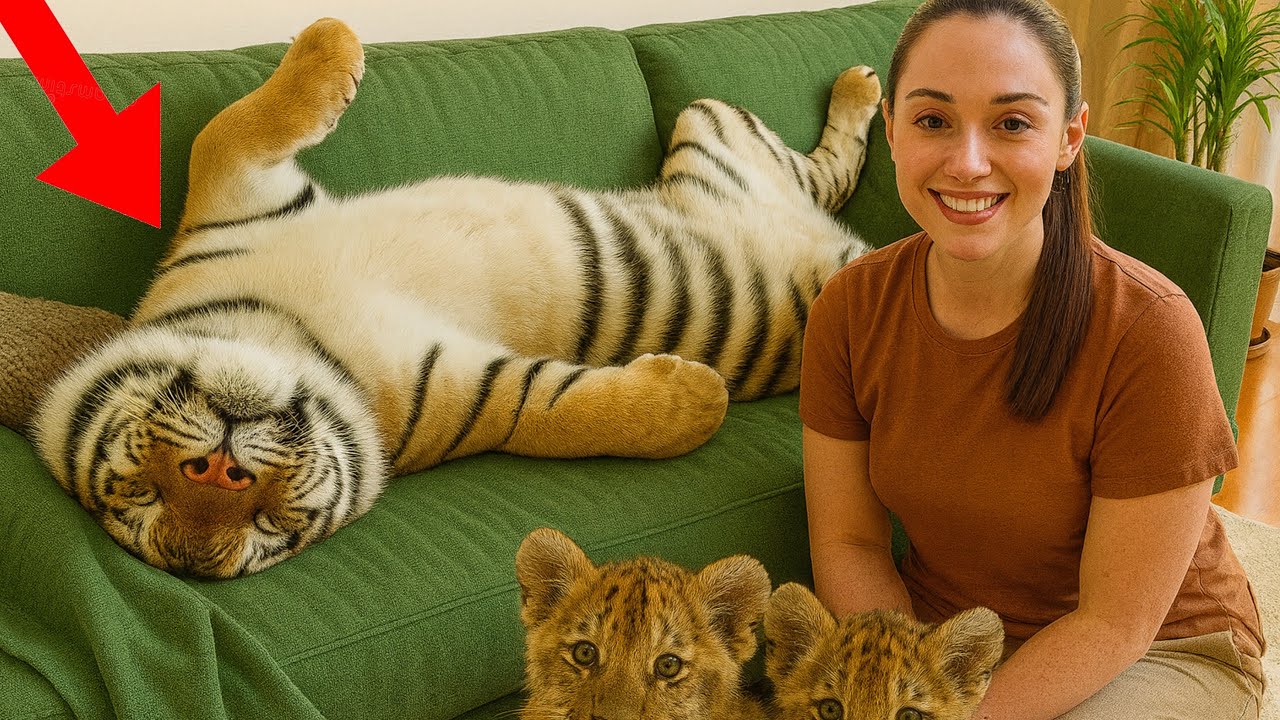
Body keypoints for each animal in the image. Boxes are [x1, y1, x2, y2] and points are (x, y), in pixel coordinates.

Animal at [31, 18, 880, 578]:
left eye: (138, 491)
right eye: (270, 533)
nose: (219, 472)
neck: (294, 333)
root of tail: (845, 249)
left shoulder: (234, 188)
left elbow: (233, 122)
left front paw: (334, 38)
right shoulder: (482, 389)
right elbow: (580, 413)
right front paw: (701, 395)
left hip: (710, 126)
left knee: (829, 169)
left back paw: (860, 80)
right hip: (719, 143)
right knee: (828, 181)